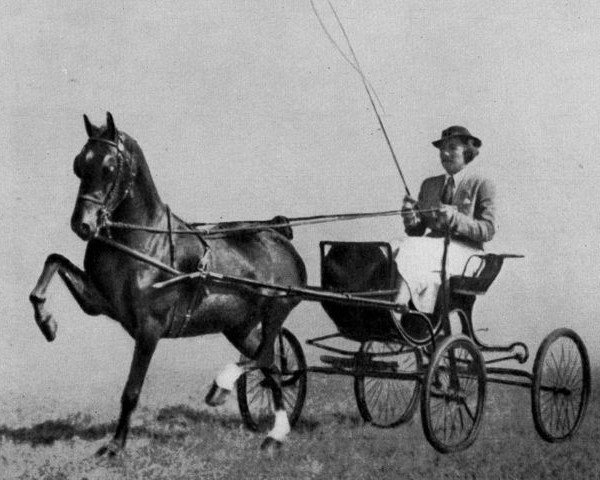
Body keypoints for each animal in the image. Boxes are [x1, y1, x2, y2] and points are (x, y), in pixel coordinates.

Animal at [29, 111, 308, 454]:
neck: (144, 240)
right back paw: (274, 434)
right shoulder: (97, 302)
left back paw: (223, 387)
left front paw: (115, 446)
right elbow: (54, 260)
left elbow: (131, 390)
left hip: (277, 310)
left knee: (266, 357)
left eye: (109, 167)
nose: (83, 225)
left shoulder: (150, 327)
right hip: (239, 327)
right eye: (79, 164)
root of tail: (279, 236)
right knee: (270, 365)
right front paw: (47, 323)